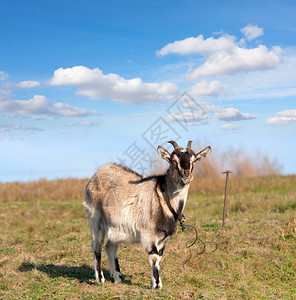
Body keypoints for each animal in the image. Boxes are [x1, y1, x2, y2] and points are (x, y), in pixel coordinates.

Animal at [84, 142, 212, 290]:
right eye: (173, 160)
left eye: (194, 160)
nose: (186, 174)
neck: (164, 198)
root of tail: (98, 172)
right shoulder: (149, 234)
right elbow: (154, 257)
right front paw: (156, 285)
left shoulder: (163, 238)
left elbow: (160, 256)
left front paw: (157, 283)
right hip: (95, 217)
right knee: (96, 245)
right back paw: (100, 279)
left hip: (116, 227)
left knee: (109, 247)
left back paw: (118, 278)